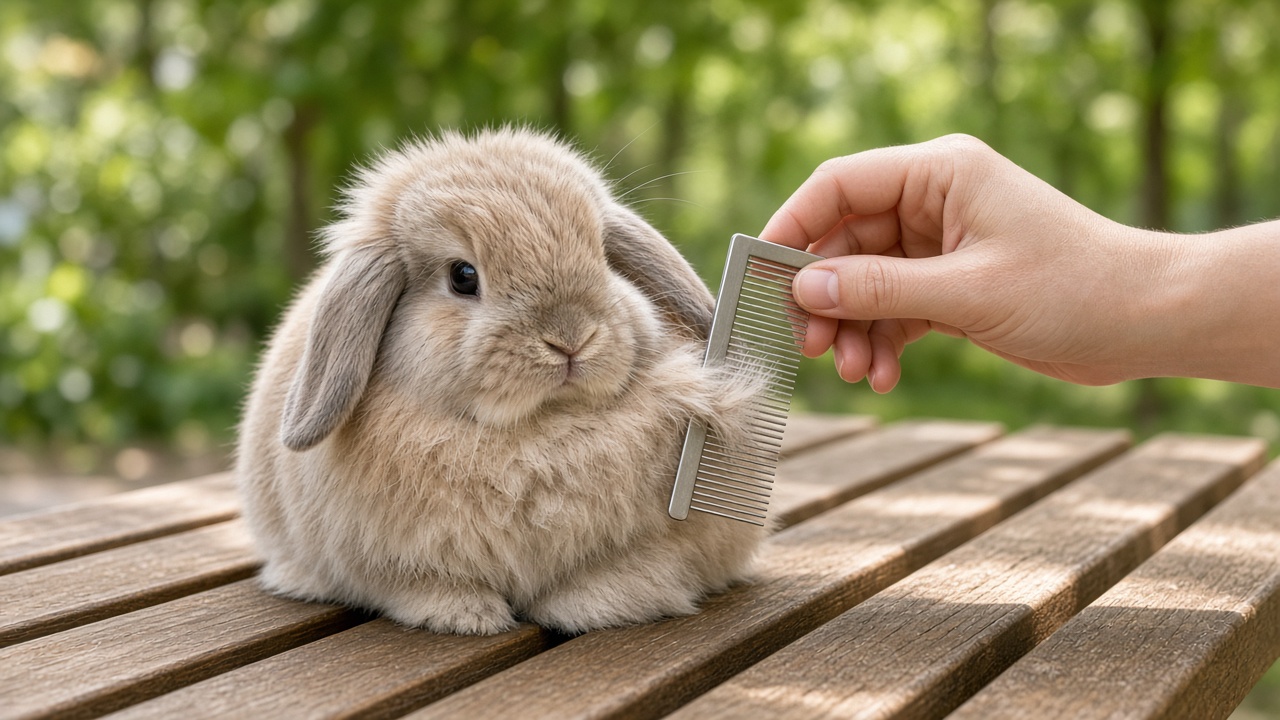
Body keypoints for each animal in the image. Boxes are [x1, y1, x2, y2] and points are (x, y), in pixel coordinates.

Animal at [236, 126, 768, 636]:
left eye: (603, 256)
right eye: (462, 276)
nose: (571, 338)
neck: (538, 432)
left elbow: (631, 572)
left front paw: (585, 606)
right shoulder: (393, 561)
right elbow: (420, 585)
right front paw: (467, 616)